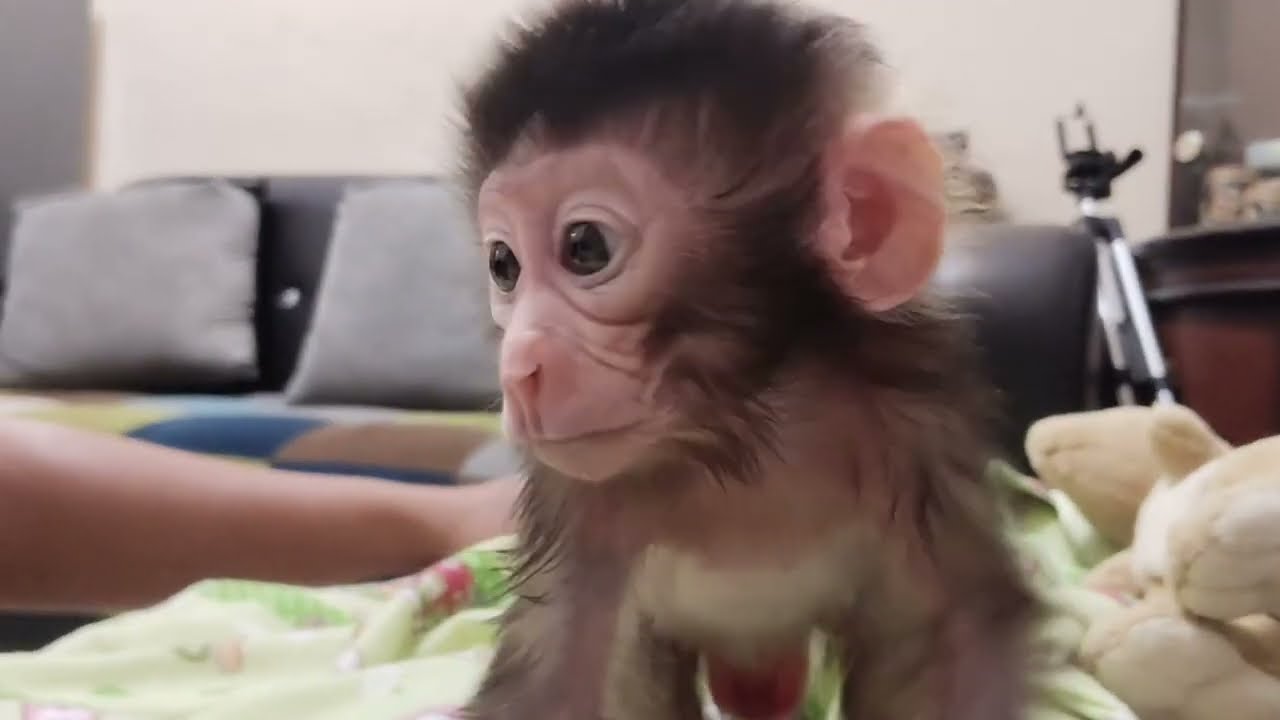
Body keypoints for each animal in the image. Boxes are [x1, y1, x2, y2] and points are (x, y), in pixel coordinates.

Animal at [457, 1, 1038, 718]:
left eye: (585, 247)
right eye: (503, 266)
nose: (519, 371)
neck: (742, 438)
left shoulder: (916, 429)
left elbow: (955, 639)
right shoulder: (580, 499)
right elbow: (561, 670)